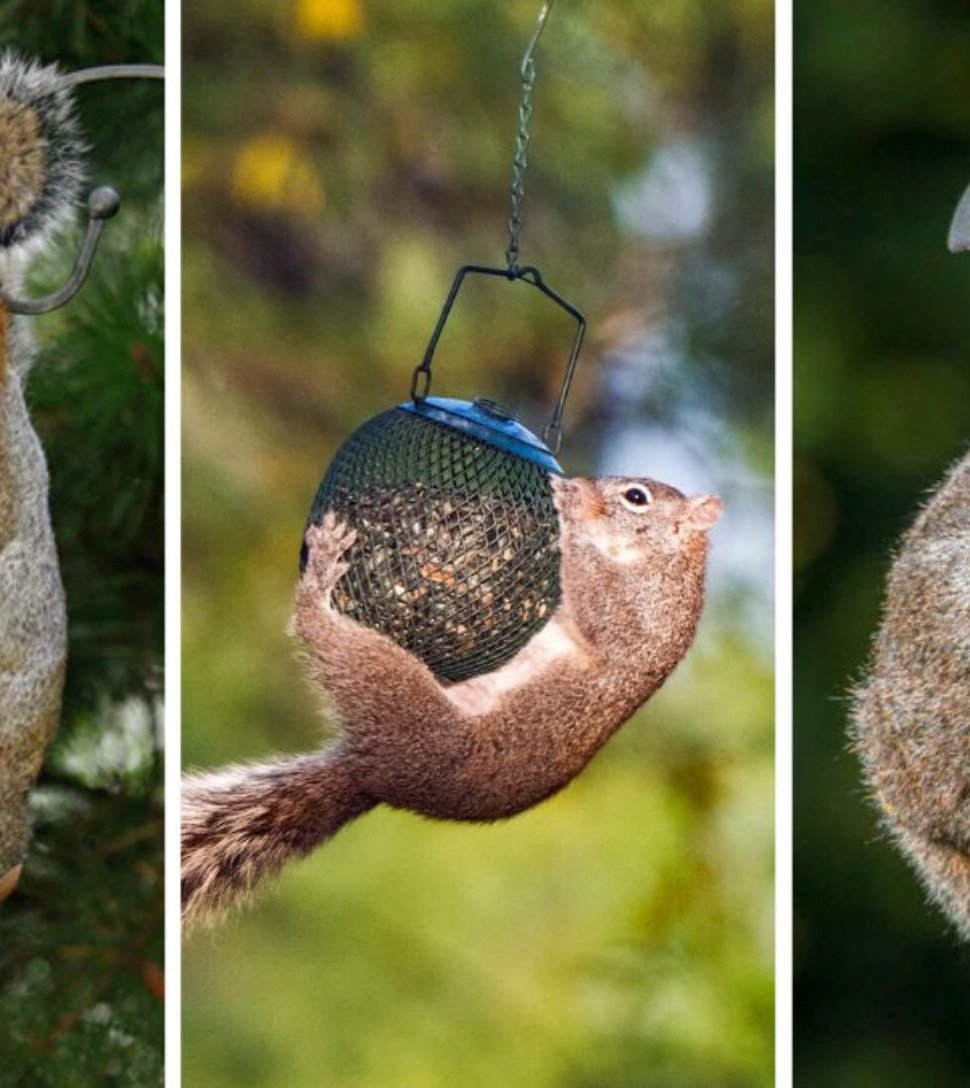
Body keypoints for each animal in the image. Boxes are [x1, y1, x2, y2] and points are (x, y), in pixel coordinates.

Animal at [182, 475, 722, 925]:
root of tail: (370, 772)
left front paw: (563, 507)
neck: (667, 563)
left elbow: (593, 593)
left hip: (396, 691)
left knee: (316, 628)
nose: (579, 484)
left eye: (636, 497)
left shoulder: (635, 616)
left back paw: (318, 577)